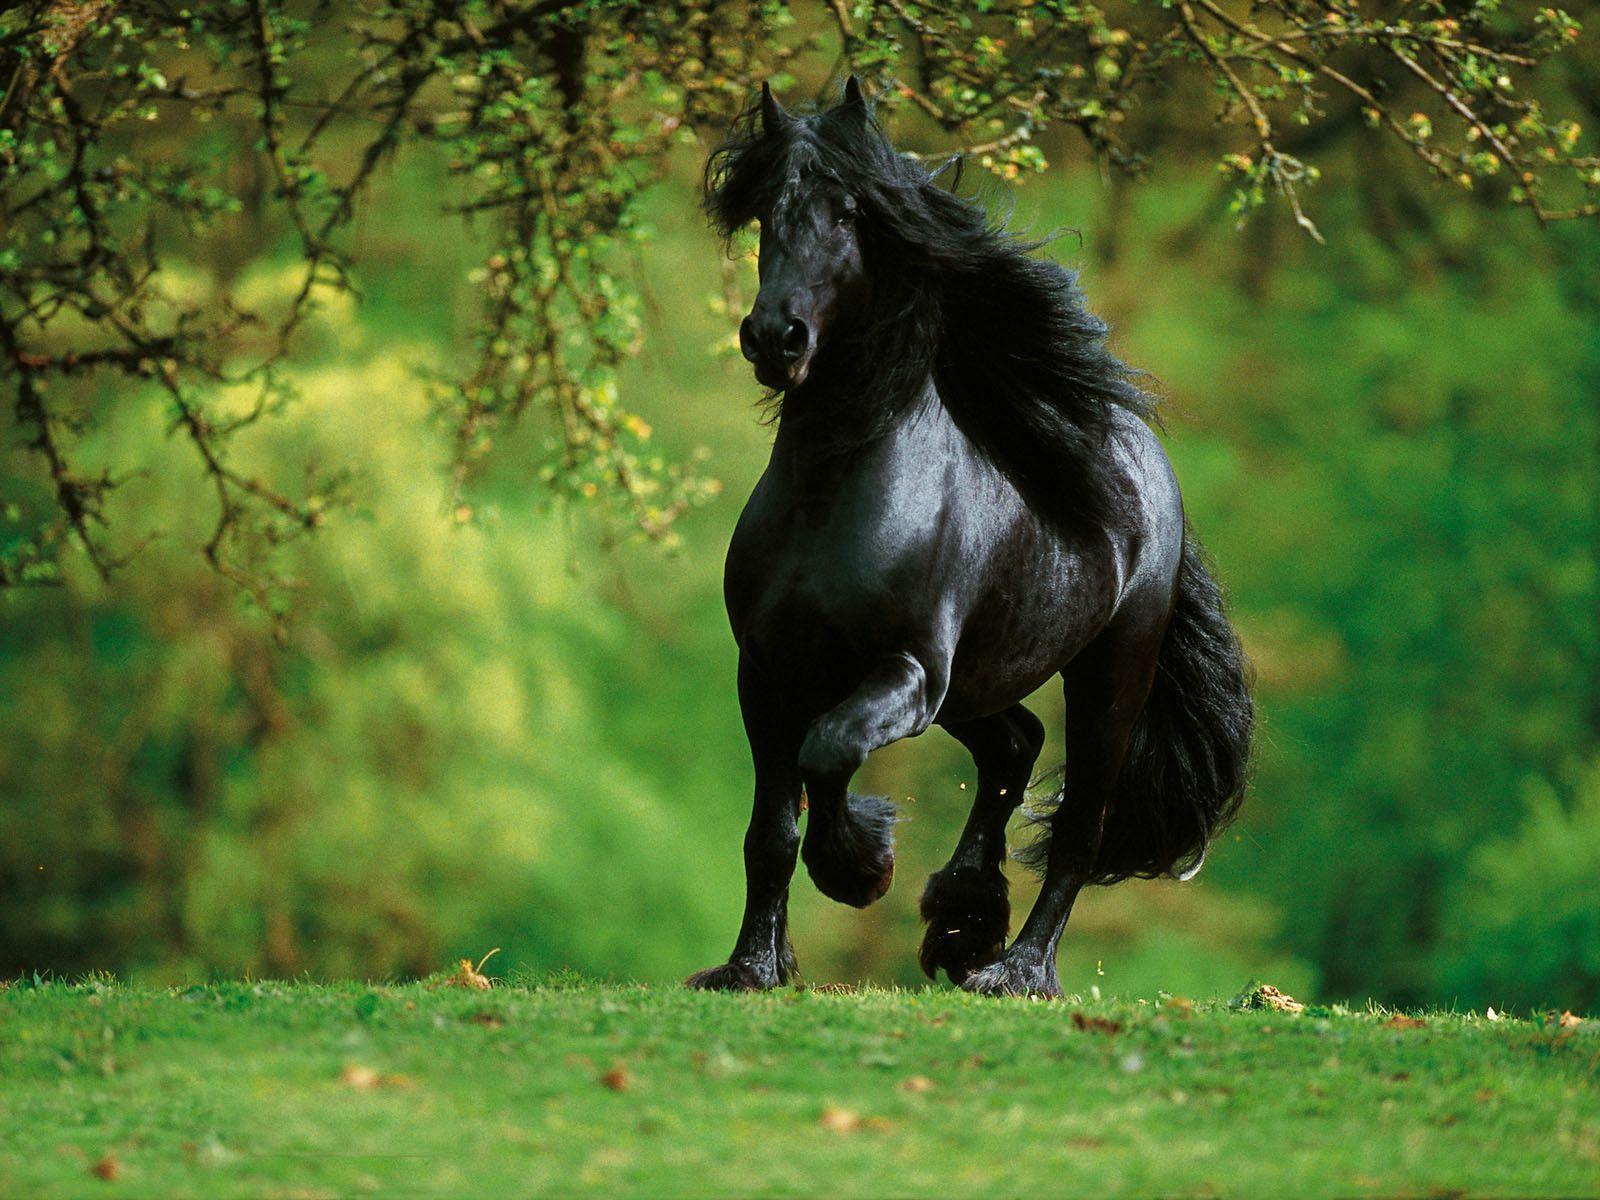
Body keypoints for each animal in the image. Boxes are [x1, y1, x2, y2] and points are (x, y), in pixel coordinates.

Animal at [685, 77, 1253, 998]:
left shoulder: (907, 669)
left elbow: (829, 752)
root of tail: (1146, 463)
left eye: (849, 213)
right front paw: (750, 968)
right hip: (978, 687)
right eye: (768, 212)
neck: (832, 498)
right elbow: (770, 829)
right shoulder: (766, 673)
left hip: (1108, 675)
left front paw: (861, 868)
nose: (775, 338)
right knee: (1015, 747)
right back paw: (962, 920)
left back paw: (1016, 970)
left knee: (1080, 828)